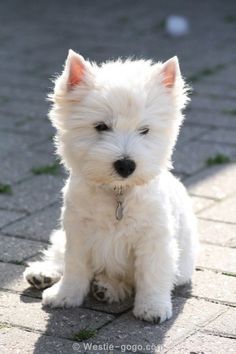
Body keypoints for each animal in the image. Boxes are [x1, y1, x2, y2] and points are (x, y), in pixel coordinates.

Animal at [24, 50, 197, 324]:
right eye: (101, 126)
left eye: (145, 130)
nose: (126, 165)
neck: (117, 193)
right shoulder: (78, 229)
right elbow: (74, 265)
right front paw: (65, 296)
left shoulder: (154, 237)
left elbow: (152, 273)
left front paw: (153, 308)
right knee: (59, 253)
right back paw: (43, 274)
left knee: (122, 279)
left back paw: (106, 288)